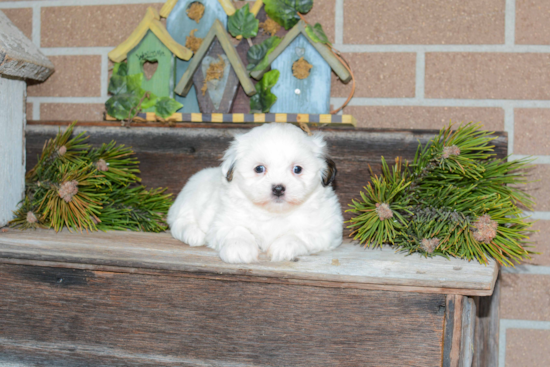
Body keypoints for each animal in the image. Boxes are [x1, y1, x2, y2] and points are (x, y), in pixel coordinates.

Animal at [168, 122, 342, 264]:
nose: (278, 188)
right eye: (259, 168)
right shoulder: (223, 221)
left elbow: (300, 234)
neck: (274, 213)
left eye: (297, 169)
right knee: (179, 222)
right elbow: (236, 230)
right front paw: (238, 248)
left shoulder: (327, 230)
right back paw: (193, 233)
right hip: (187, 201)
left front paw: (285, 246)